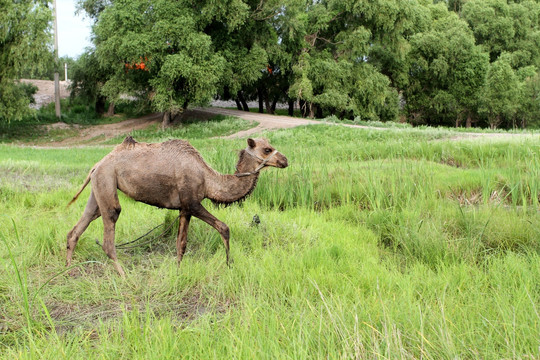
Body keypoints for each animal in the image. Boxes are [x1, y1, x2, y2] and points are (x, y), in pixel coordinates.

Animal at [66, 136, 288, 276]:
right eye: (267, 149)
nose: (285, 160)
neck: (208, 178)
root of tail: (96, 165)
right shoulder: (192, 203)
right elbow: (224, 227)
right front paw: (228, 264)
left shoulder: (184, 209)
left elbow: (181, 244)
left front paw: (178, 271)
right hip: (107, 180)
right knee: (110, 228)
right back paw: (124, 276)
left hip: (99, 187)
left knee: (78, 227)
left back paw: (68, 269)